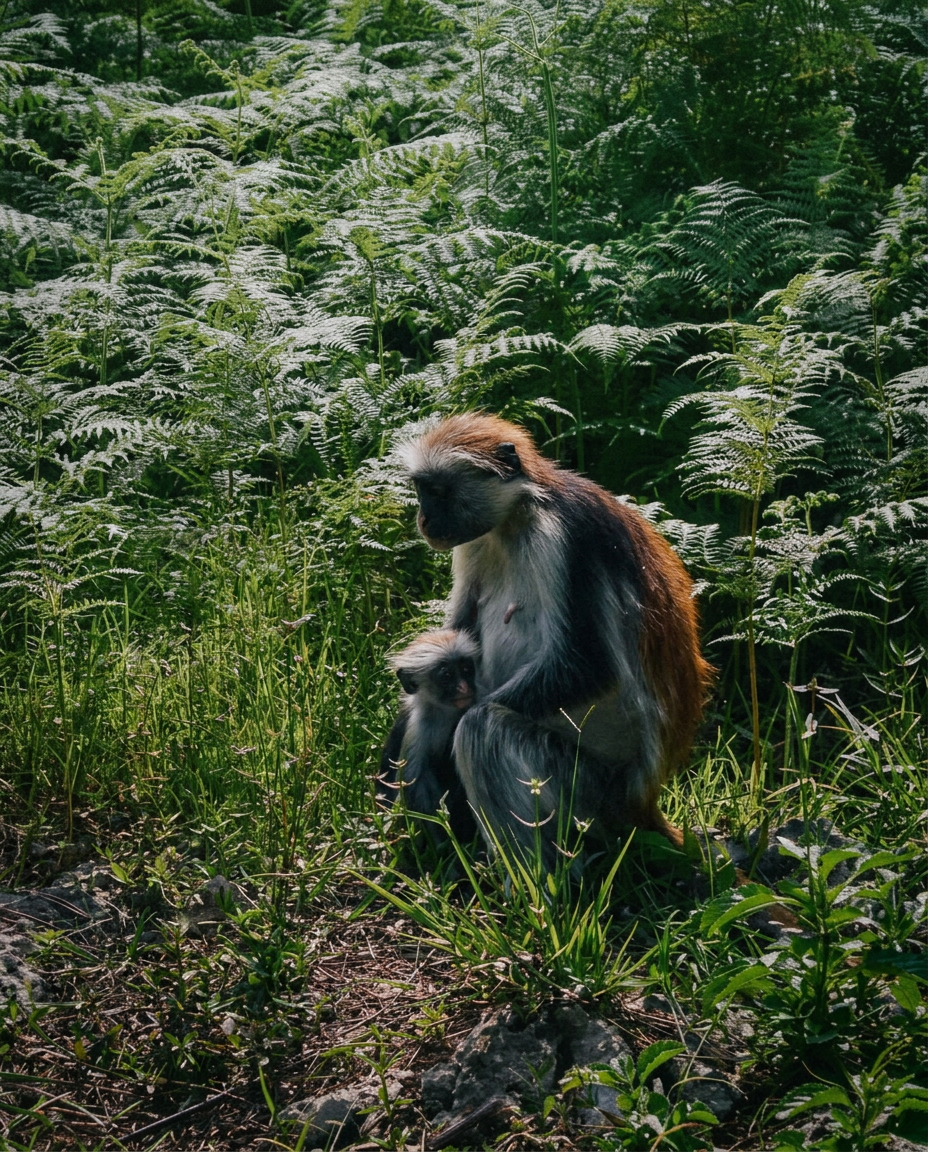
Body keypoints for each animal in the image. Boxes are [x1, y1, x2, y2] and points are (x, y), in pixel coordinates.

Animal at [378, 629, 481, 843]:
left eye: (467, 669)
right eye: (447, 675)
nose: (465, 687)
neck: (445, 713)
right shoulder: (419, 726)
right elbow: (413, 782)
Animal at [398, 412, 714, 869]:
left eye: (438, 492)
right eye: (422, 491)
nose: (424, 520)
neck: (520, 515)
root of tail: (643, 800)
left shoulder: (566, 534)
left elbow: (588, 666)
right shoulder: (479, 538)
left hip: (592, 786)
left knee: (482, 728)